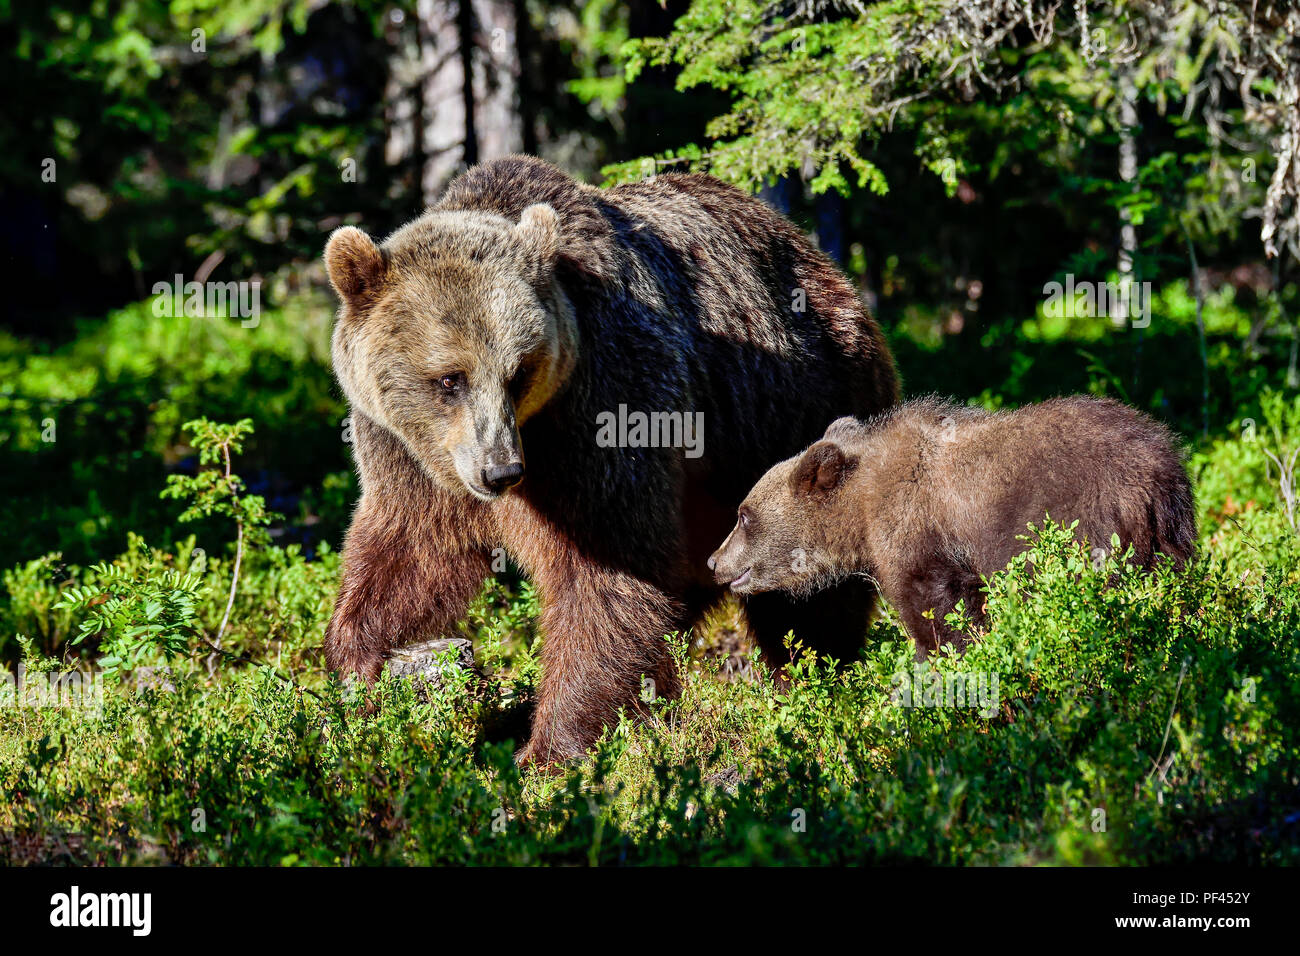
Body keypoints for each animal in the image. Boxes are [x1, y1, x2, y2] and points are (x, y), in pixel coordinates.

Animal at [322, 155, 899, 764]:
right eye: (449, 379)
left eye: (518, 373)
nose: (501, 470)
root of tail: (822, 265)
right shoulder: (404, 449)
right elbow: (411, 547)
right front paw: (358, 662)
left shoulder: (605, 403)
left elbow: (607, 572)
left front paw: (549, 749)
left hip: (798, 410)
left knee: (804, 588)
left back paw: (811, 683)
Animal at [707, 395, 1195, 658]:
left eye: (743, 515)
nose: (714, 560)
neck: (861, 513)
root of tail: (1157, 471)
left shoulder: (921, 533)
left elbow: (938, 609)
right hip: (1171, 534)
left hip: (1085, 524)